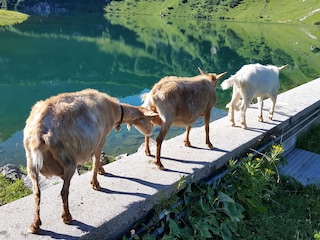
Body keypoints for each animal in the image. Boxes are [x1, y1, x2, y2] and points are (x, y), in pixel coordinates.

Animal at [22, 88, 158, 232]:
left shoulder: (91, 142)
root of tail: (38, 135)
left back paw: (35, 225)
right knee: (64, 191)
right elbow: (96, 159)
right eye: (149, 119)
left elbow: (94, 159)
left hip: (31, 164)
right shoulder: (100, 138)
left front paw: (101, 171)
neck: (114, 110)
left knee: (37, 193)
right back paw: (67, 217)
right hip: (68, 160)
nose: (151, 131)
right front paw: (96, 183)